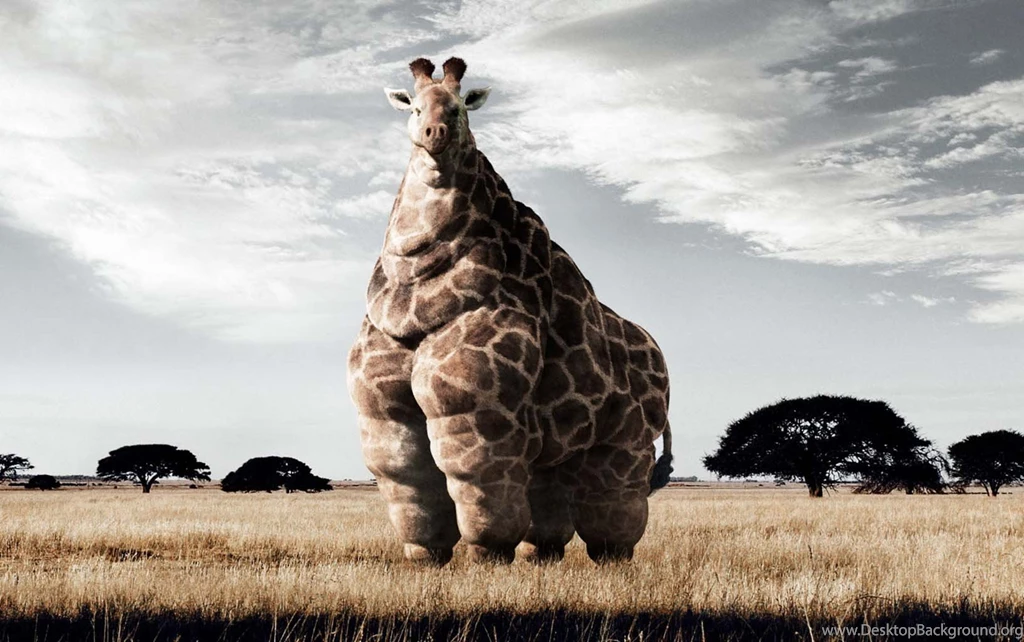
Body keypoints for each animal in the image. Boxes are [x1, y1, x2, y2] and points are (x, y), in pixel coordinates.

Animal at [347, 57, 673, 566]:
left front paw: (488, 557)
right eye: (414, 106)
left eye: (460, 107)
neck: (414, 290)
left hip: (626, 437)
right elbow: (407, 476)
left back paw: (611, 558)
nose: (435, 133)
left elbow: (478, 481)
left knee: (614, 501)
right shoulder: (383, 410)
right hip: (562, 446)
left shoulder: (475, 405)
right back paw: (540, 556)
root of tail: (660, 358)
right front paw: (425, 556)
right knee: (550, 502)